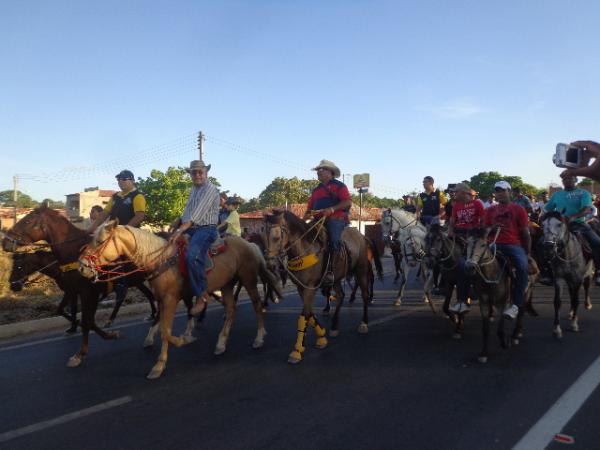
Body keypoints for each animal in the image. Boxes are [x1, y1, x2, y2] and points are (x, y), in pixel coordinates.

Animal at [79, 221, 284, 380]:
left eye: (100, 241)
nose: (81, 267)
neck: (161, 260)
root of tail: (250, 244)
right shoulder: (162, 300)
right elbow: (163, 326)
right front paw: (180, 339)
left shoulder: (171, 299)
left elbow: (166, 332)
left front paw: (164, 360)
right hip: (227, 284)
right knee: (231, 309)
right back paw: (221, 343)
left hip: (248, 280)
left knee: (256, 305)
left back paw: (259, 338)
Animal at [264, 209, 380, 364]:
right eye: (263, 233)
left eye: (277, 237)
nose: (270, 263)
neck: (304, 249)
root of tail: (362, 236)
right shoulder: (302, 287)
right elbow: (310, 313)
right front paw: (321, 337)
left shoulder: (310, 287)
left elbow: (304, 316)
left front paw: (297, 351)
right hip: (336, 277)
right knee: (341, 296)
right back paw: (334, 326)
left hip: (361, 270)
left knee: (365, 294)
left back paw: (364, 323)